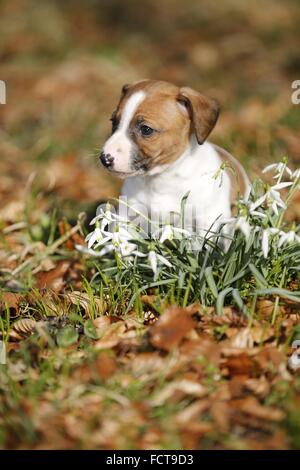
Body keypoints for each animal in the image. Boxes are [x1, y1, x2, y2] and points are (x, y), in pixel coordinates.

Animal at [99, 80, 250, 239]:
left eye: (146, 129)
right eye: (113, 122)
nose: (104, 159)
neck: (162, 180)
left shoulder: (208, 222)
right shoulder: (128, 213)